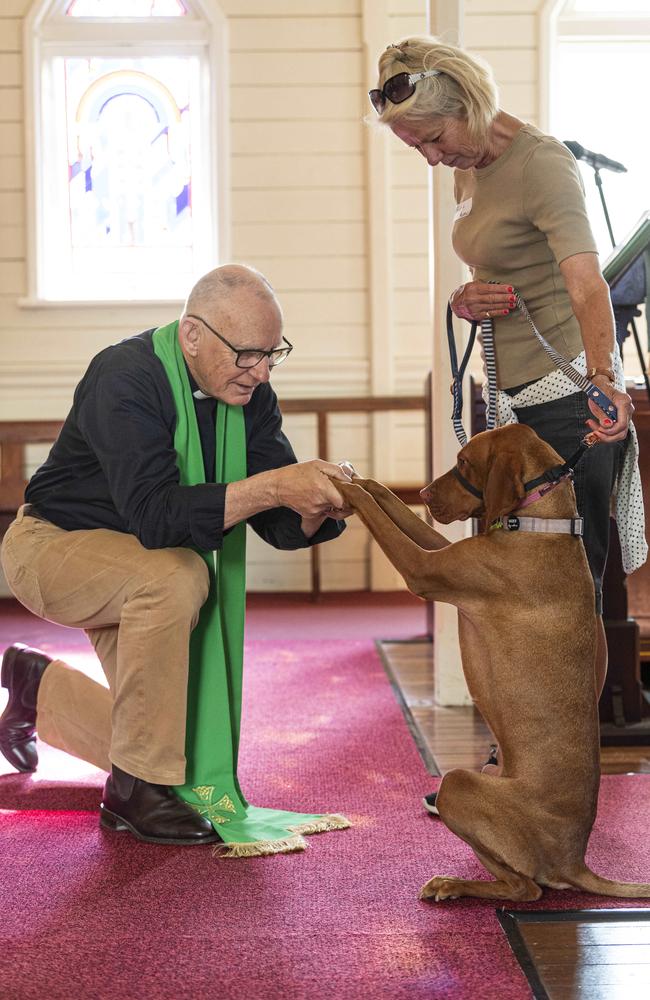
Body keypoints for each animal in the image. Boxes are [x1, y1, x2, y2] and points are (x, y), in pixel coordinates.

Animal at [334, 422, 648, 908]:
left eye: (464, 462)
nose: (424, 492)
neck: (541, 520)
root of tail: (575, 861)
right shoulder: (445, 552)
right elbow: (391, 506)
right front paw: (365, 480)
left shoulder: (424, 570)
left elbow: (382, 520)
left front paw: (344, 486)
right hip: (486, 773)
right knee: (520, 882)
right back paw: (454, 885)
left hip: (459, 784)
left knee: (528, 889)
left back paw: (455, 885)